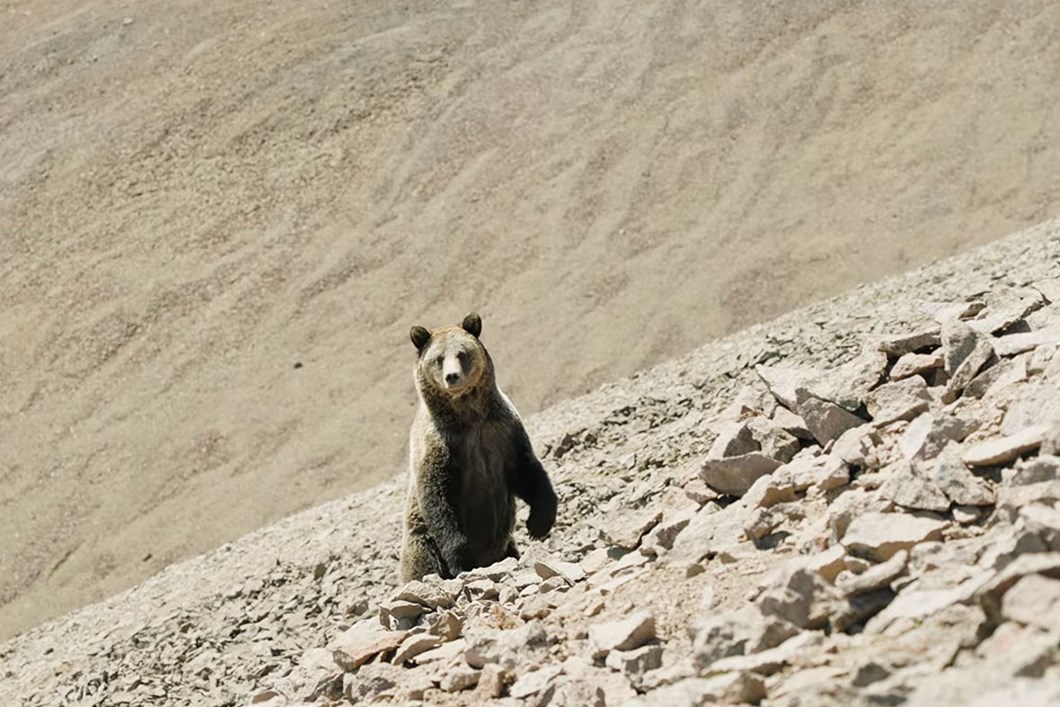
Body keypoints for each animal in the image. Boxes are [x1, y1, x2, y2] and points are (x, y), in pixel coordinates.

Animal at [400, 312, 557, 583]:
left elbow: (527, 470)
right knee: (423, 563)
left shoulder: (503, 432)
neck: (470, 418)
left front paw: (539, 523)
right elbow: (438, 497)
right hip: (422, 544)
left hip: (506, 545)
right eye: (438, 359)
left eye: (462, 353)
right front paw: (461, 557)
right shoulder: (441, 444)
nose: (452, 376)